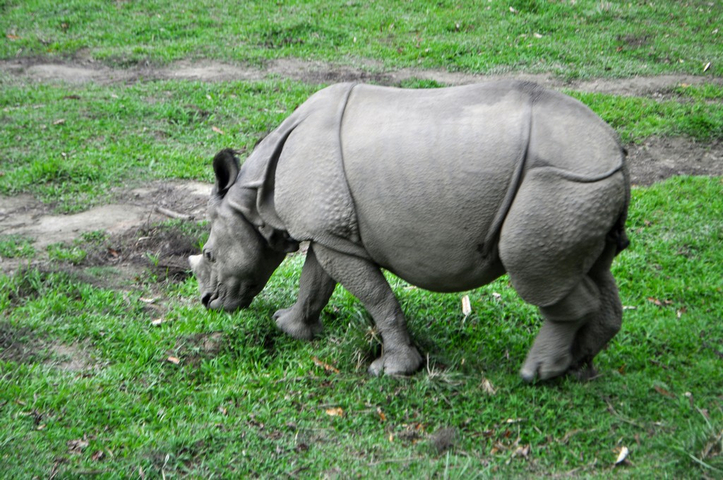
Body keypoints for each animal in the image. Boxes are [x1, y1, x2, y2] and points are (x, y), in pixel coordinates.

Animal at [189, 81, 630, 382]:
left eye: (209, 255)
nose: (209, 302)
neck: (254, 198)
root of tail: (615, 148)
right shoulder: (329, 232)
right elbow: (314, 282)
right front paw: (289, 326)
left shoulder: (333, 235)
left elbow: (374, 296)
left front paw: (392, 370)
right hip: (586, 190)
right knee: (592, 269)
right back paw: (577, 368)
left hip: (561, 182)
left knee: (535, 271)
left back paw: (537, 373)